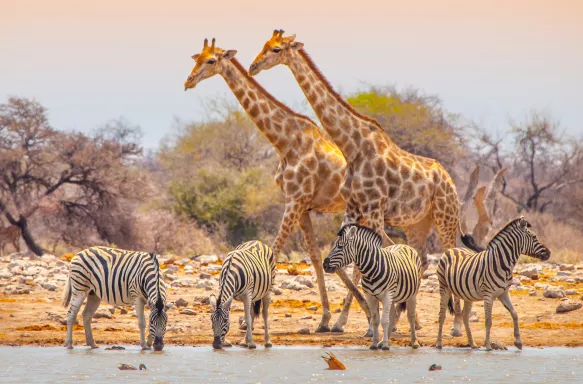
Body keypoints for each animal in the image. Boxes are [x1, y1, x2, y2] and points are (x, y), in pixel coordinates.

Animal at [185, 39, 372, 332]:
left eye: (211, 61)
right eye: (197, 58)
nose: (189, 81)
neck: (286, 142)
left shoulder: (294, 201)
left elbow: (274, 251)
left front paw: (250, 317)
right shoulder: (303, 206)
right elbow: (314, 257)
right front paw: (323, 318)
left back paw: (351, 321)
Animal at [249, 30, 482, 336]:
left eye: (276, 50)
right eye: (263, 45)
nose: (253, 66)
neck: (353, 146)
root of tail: (450, 180)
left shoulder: (373, 210)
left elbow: (376, 259)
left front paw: (376, 320)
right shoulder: (355, 209)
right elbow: (353, 261)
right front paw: (367, 321)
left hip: (446, 218)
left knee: (450, 255)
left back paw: (453, 326)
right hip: (418, 223)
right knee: (420, 258)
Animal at [438, 216, 552, 352]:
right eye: (534, 237)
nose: (549, 253)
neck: (501, 263)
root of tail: (453, 248)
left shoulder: (503, 293)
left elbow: (514, 314)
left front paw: (518, 342)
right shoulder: (488, 295)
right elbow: (488, 321)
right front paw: (488, 346)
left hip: (467, 295)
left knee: (465, 317)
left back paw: (473, 344)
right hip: (444, 287)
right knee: (442, 315)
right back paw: (438, 344)